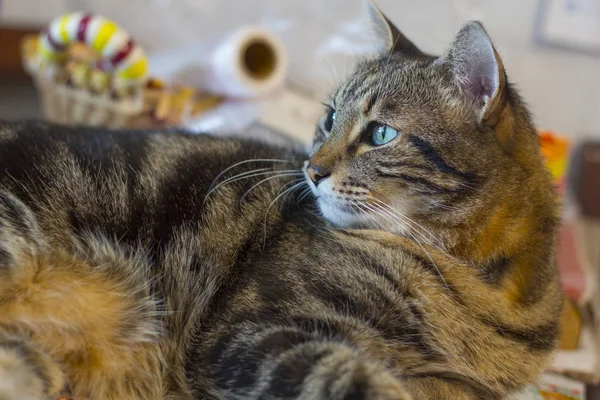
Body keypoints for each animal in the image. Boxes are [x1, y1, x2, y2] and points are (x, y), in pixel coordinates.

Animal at [0, 1, 564, 398]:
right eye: (330, 118)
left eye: (381, 134)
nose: (312, 169)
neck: (482, 286)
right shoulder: (249, 330)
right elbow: (349, 377)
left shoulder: (459, 386)